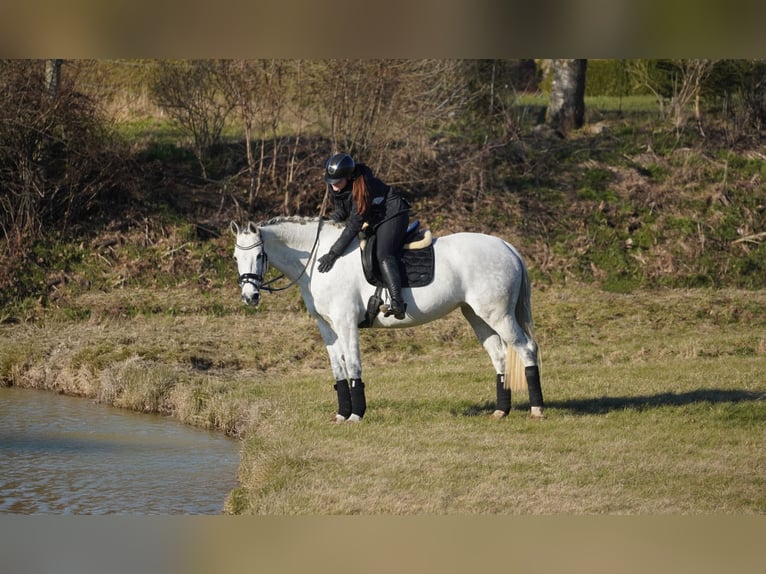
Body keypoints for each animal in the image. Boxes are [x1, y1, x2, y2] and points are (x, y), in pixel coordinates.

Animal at [231, 216, 544, 424]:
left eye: (260, 255)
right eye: (235, 256)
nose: (249, 296)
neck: (319, 261)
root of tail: (506, 247)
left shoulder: (345, 322)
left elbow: (353, 364)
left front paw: (356, 414)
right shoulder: (327, 327)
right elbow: (338, 369)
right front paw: (341, 414)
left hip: (498, 314)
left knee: (526, 349)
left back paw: (536, 409)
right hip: (476, 315)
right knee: (500, 357)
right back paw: (501, 411)